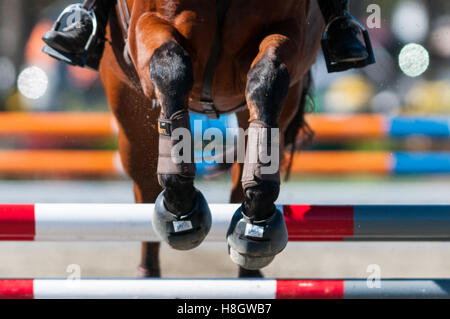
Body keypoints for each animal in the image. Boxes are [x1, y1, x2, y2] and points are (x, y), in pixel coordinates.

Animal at [99, 0, 324, 278]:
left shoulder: (286, 27)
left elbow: (268, 77)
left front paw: (257, 217)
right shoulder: (150, 21)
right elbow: (171, 67)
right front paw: (182, 208)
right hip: (129, 106)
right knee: (145, 188)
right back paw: (149, 272)